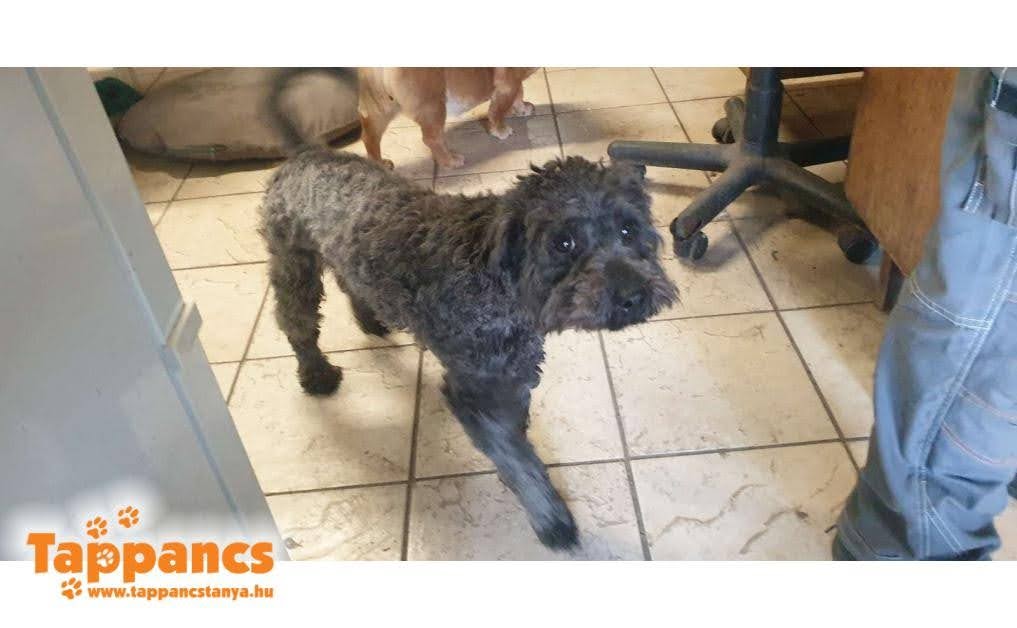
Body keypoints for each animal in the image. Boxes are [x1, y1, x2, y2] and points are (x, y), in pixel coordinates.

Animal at [260, 147, 678, 549]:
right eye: (563, 243)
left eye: (628, 229)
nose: (633, 296)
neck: (499, 280)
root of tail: (305, 153)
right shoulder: (474, 392)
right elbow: (518, 458)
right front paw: (551, 518)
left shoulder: (513, 374)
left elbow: (514, 431)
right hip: (294, 266)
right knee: (297, 325)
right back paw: (316, 373)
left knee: (350, 282)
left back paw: (370, 319)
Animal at [357, 68, 539, 169]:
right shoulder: (507, 84)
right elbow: (498, 111)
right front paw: (501, 130)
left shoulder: (514, 82)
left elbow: (519, 93)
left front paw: (522, 108)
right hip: (433, 106)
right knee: (432, 139)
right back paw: (451, 161)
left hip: (381, 110)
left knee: (370, 137)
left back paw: (379, 164)